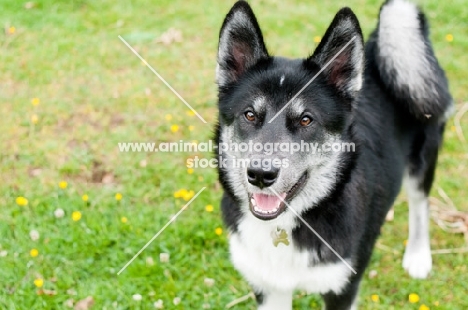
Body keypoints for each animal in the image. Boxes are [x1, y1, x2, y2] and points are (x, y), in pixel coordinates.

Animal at [214, 1, 452, 308]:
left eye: (306, 120)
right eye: (250, 115)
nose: (261, 175)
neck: (288, 223)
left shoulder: (342, 288)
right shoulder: (268, 287)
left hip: (424, 155)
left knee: (420, 202)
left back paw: (418, 256)